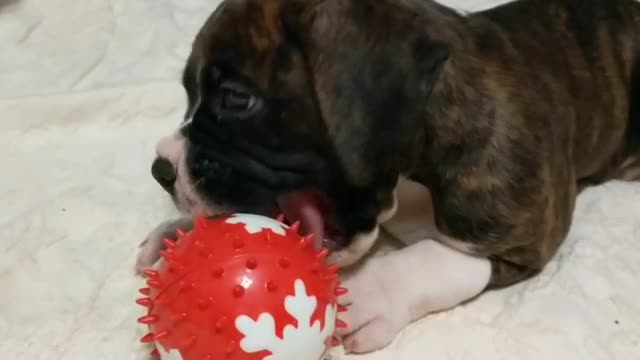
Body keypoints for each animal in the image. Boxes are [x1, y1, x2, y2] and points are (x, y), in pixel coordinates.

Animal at [135, 0, 640, 352]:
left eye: (236, 99)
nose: (161, 169)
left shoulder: (524, 234)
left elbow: (437, 257)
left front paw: (366, 294)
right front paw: (180, 233)